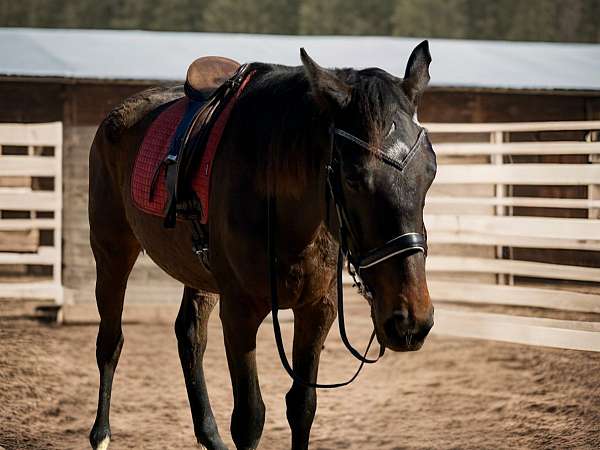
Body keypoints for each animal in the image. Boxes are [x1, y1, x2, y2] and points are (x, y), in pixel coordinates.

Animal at [86, 40, 436, 448]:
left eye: (430, 171)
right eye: (351, 177)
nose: (411, 320)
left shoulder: (318, 310)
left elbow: (302, 407)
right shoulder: (240, 313)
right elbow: (250, 418)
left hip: (201, 275)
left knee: (189, 336)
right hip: (112, 251)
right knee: (110, 342)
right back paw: (101, 434)